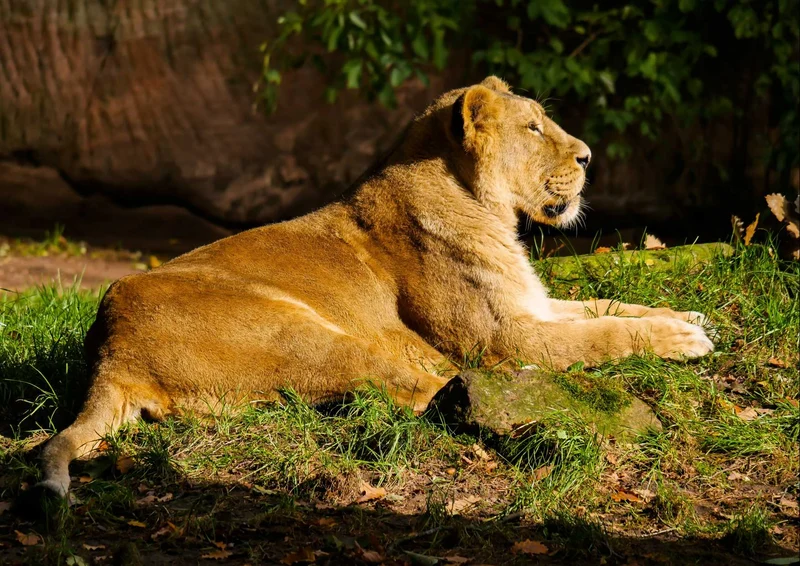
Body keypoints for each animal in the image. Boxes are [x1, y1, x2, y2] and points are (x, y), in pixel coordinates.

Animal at [38, 77, 713, 497]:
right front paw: (683, 341)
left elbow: (606, 306)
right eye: (533, 128)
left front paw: (685, 317)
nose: (588, 156)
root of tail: (111, 352)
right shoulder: (505, 336)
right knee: (430, 396)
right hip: (309, 335)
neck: (486, 207)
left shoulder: (534, 304)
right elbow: (601, 334)